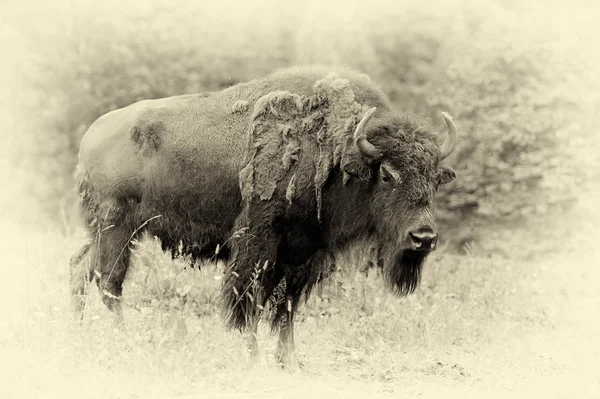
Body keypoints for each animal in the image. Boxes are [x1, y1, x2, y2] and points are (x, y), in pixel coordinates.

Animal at [70, 65, 458, 366]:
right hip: (118, 228)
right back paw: (123, 342)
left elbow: (285, 308)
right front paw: (252, 356)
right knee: (109, 283)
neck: (337, 152)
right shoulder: (259, 244)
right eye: (388, 175)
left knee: (81, 269)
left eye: (434, 178)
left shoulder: (302, 253)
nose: (423, 238)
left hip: (107, 232)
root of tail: (90, 136)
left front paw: (289, 362)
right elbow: (249, 302)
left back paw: (77, 330)